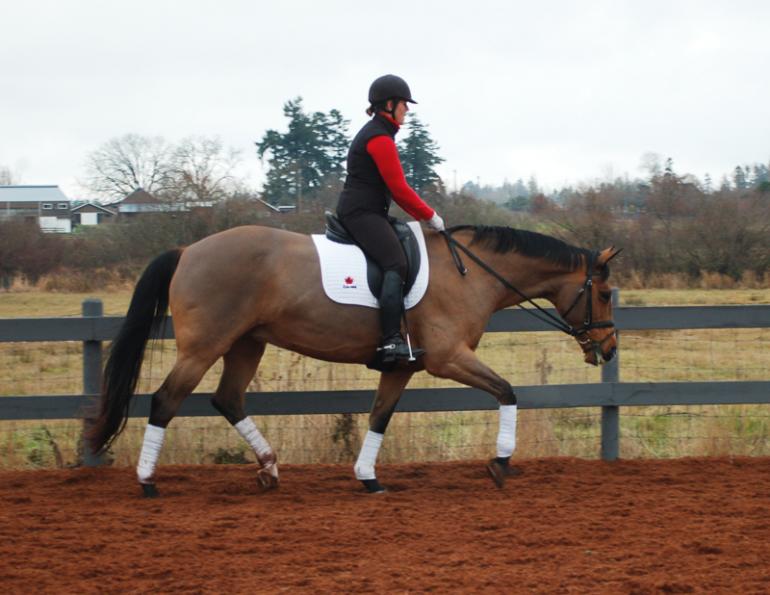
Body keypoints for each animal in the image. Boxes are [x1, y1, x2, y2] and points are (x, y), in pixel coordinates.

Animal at [88, 223, 620, 496]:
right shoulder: (448, 358)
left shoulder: (403, 366)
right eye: (605, 293)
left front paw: (368, 478)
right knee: (165, 401)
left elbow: (379, 417)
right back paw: (147, 482)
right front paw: (500, 463)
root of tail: (187, 250)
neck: (471, 273)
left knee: (228, 399)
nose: (610, 348)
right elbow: (508, 391)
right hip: (205, 346)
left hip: (247, 343)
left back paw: (270, 469)